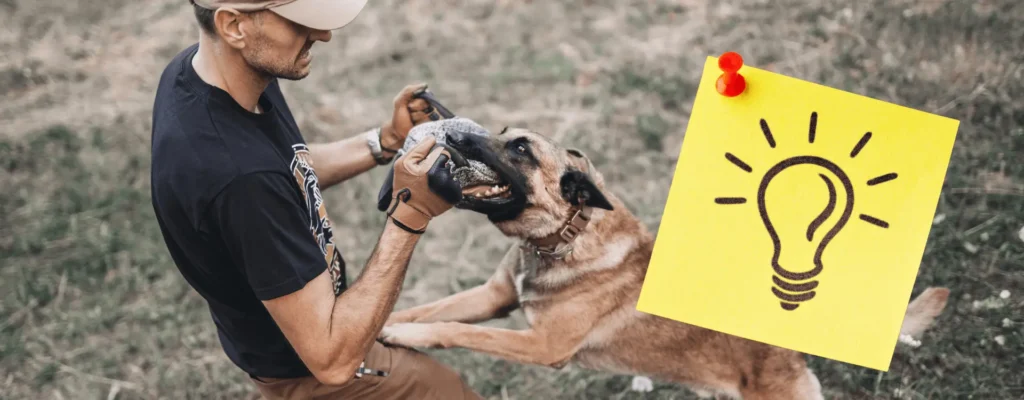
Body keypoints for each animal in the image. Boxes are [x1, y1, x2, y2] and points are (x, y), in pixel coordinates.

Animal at [378, 127, 950, 396]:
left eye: (519, 148)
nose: (453, 135)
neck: (564, 237)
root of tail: (786, 350)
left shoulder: (542, 347)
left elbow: (454, 328)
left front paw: (403, 336)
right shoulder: (494, 297)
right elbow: (428, 310)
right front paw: (384, 329)